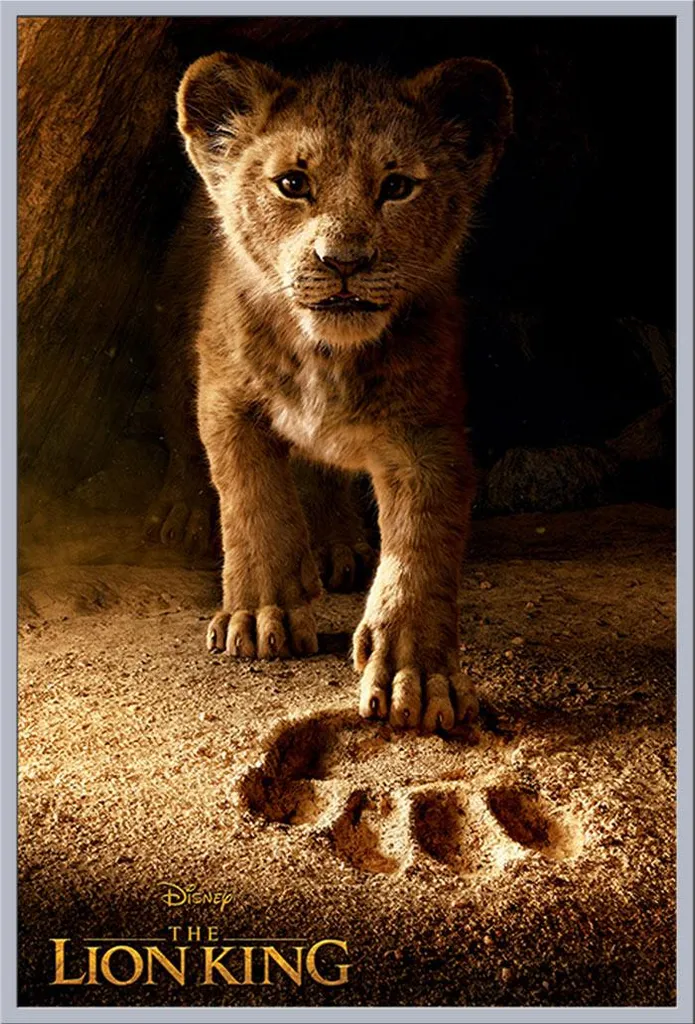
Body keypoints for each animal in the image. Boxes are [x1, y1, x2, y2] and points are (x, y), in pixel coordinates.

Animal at [154, 53, 512, 731]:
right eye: (293, 184)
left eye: (397, 187)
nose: (343, 260)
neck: (327, 353)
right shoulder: (226, 399)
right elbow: (253, 502)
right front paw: (260, 614)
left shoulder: (427, 434)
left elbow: (420, 546)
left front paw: (416, 674)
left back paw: (335, 544)